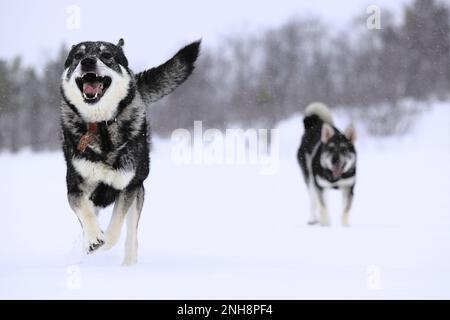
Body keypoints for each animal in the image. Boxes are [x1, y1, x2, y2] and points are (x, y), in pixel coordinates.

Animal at [60, 38, 200, 264]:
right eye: (77, 56)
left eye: (106, 55)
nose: (88, 61)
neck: (102, 127)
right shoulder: (75, 188)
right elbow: (84, 211)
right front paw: (93, 239)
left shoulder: (128, 187)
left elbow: (117, 224)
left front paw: (105, 240)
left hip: (138, 191)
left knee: (131, 235)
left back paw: (128, 264)